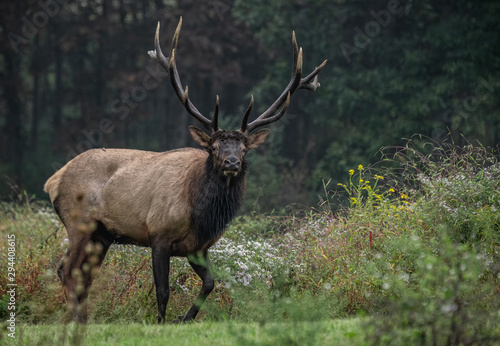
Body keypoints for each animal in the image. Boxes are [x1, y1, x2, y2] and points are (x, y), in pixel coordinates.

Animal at [44, 17, 328, 324]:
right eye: (213, 147)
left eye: (243, 149)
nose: (231, 163)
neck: (201, 214)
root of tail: (53, 180)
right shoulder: (158, 234)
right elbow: (163, 290)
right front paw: (160, 323)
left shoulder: (198, 247)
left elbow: (210, 283)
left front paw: (186, 317)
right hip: (79, 222)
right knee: (65, 269)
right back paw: (75, 319)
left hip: (102, 234)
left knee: (83, 275)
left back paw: (82, 319)